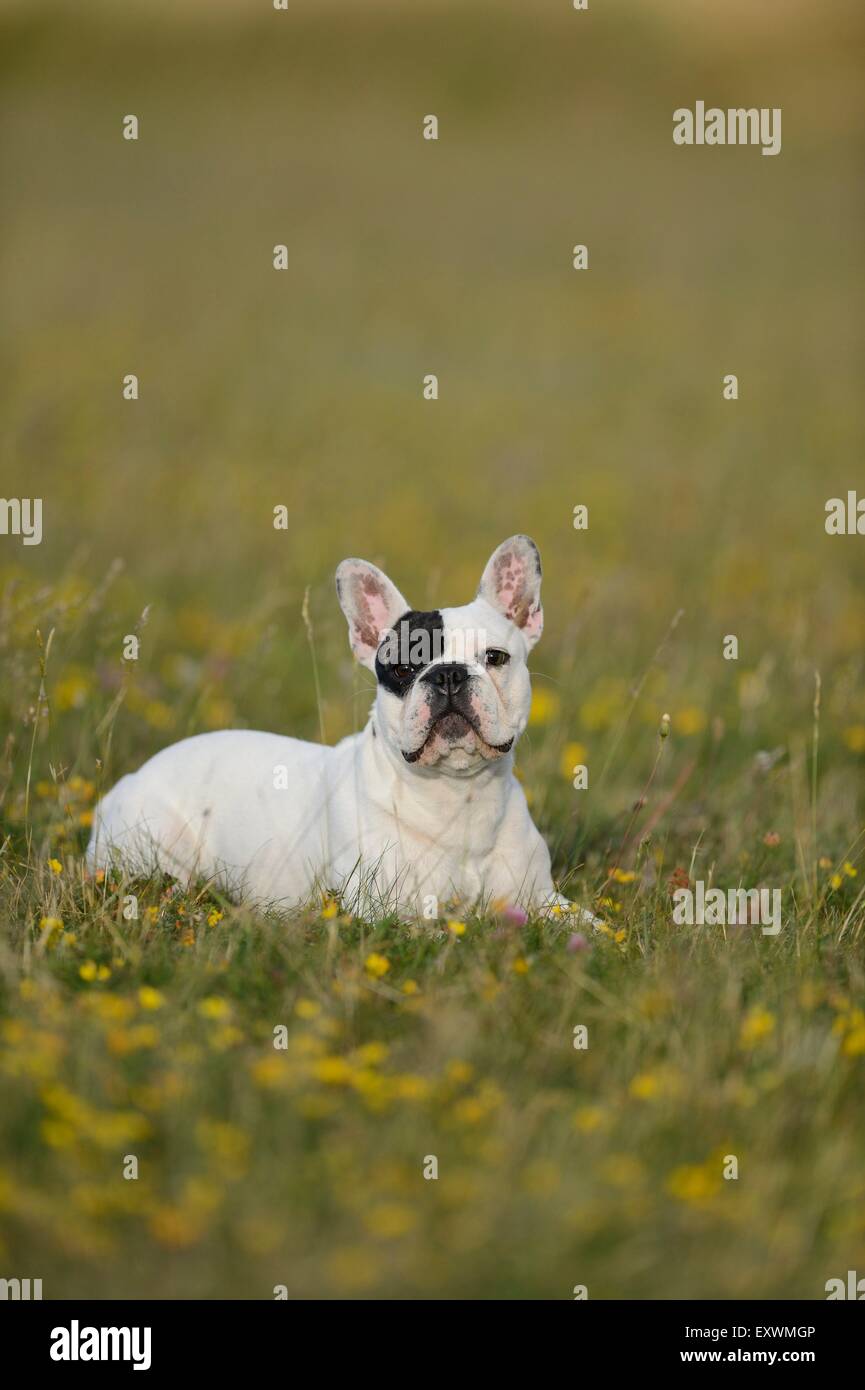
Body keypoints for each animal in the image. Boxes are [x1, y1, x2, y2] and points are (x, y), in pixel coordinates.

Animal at [88, 536, 589, 917]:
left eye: (495, 657)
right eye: (403, 668)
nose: (447, 674)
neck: (456, 794)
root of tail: (124, 783)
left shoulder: (544, 899)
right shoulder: (384, 910)